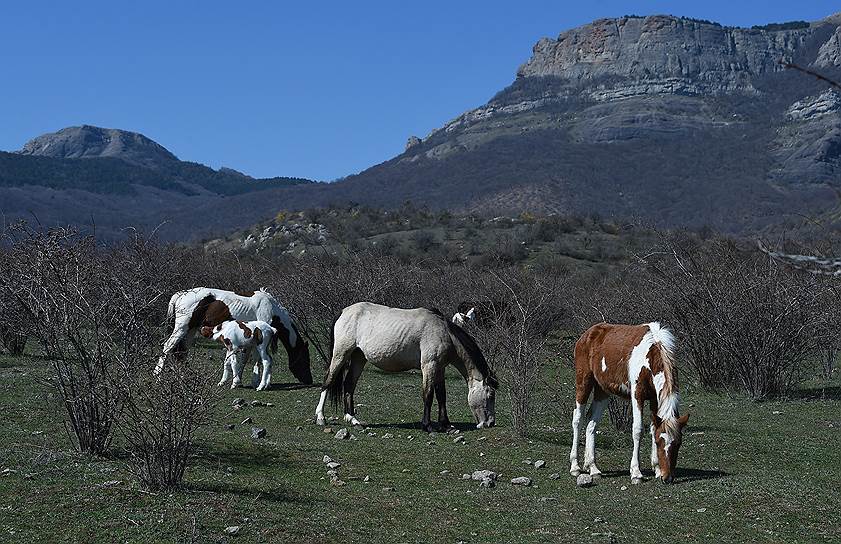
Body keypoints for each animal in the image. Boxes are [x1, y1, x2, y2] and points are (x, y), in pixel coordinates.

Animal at [154, 286, 312, 384]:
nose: (309, 381)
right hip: (182, 328)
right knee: (168, 347)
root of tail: (180, 295)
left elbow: (245, 358)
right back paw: (157, 375)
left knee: (181, 352)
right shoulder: (259, 337)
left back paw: (182, 376)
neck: (270, 308)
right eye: (305, 360)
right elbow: (256, 358)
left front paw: (240, 378)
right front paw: (254, 381)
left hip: (190, 331)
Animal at [316, 302, 498, 434]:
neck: (444, 332)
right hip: (341, 354)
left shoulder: (439, 368)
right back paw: (320, 417)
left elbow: (441, 396)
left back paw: (353, 419)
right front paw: (427, 426)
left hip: (358, 358)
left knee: (348, 385)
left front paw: (446, 425)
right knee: (328, 380)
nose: (490, 423)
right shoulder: (429, 366)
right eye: (490, 395)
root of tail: (343, 311)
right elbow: (428, 395)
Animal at [568, 320, 684, 482]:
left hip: (602, 390)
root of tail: (587, 334)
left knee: (591, 422)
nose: (667, 477)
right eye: (660, 442)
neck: (651, 352)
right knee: (577, 419)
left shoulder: (655, 399)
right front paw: (636, 472)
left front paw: (656, 469)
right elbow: (638, 429)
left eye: (678, 444)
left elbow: (653, 427)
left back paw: (593, 467)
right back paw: (575, 467)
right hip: (584, 382)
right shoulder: (637, 394)